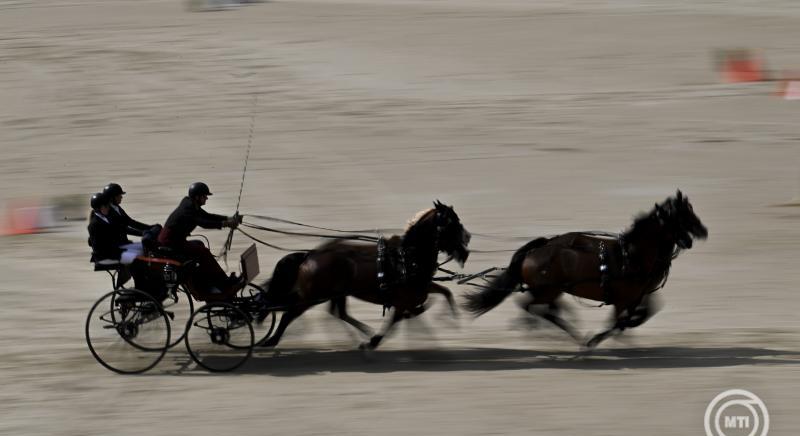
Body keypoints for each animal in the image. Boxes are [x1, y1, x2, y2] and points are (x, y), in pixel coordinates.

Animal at [258, 202, 468, 350]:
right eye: (452, 224)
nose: (466, 248)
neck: (407, 258)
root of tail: (310, 254)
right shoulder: (403, 300)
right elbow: (394, 320)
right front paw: (372, 342)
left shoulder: (420, 289)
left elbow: (444, 292)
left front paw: (450, 317)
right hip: (314, 296)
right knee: (289, 314)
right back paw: (271, 340)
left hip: (334, 293)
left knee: (338, 313)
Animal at [462, 190, 708, 348]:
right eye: (682, 215)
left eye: (690, 211)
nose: (703, 231)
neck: (632, 255)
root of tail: (537, 249)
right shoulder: (623, 300)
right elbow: (619, 322)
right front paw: (598, 339)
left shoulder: (638, 295)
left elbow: (643, 314)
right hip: (547, 290)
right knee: (531, 307)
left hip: (553, 291)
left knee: (545, 310)